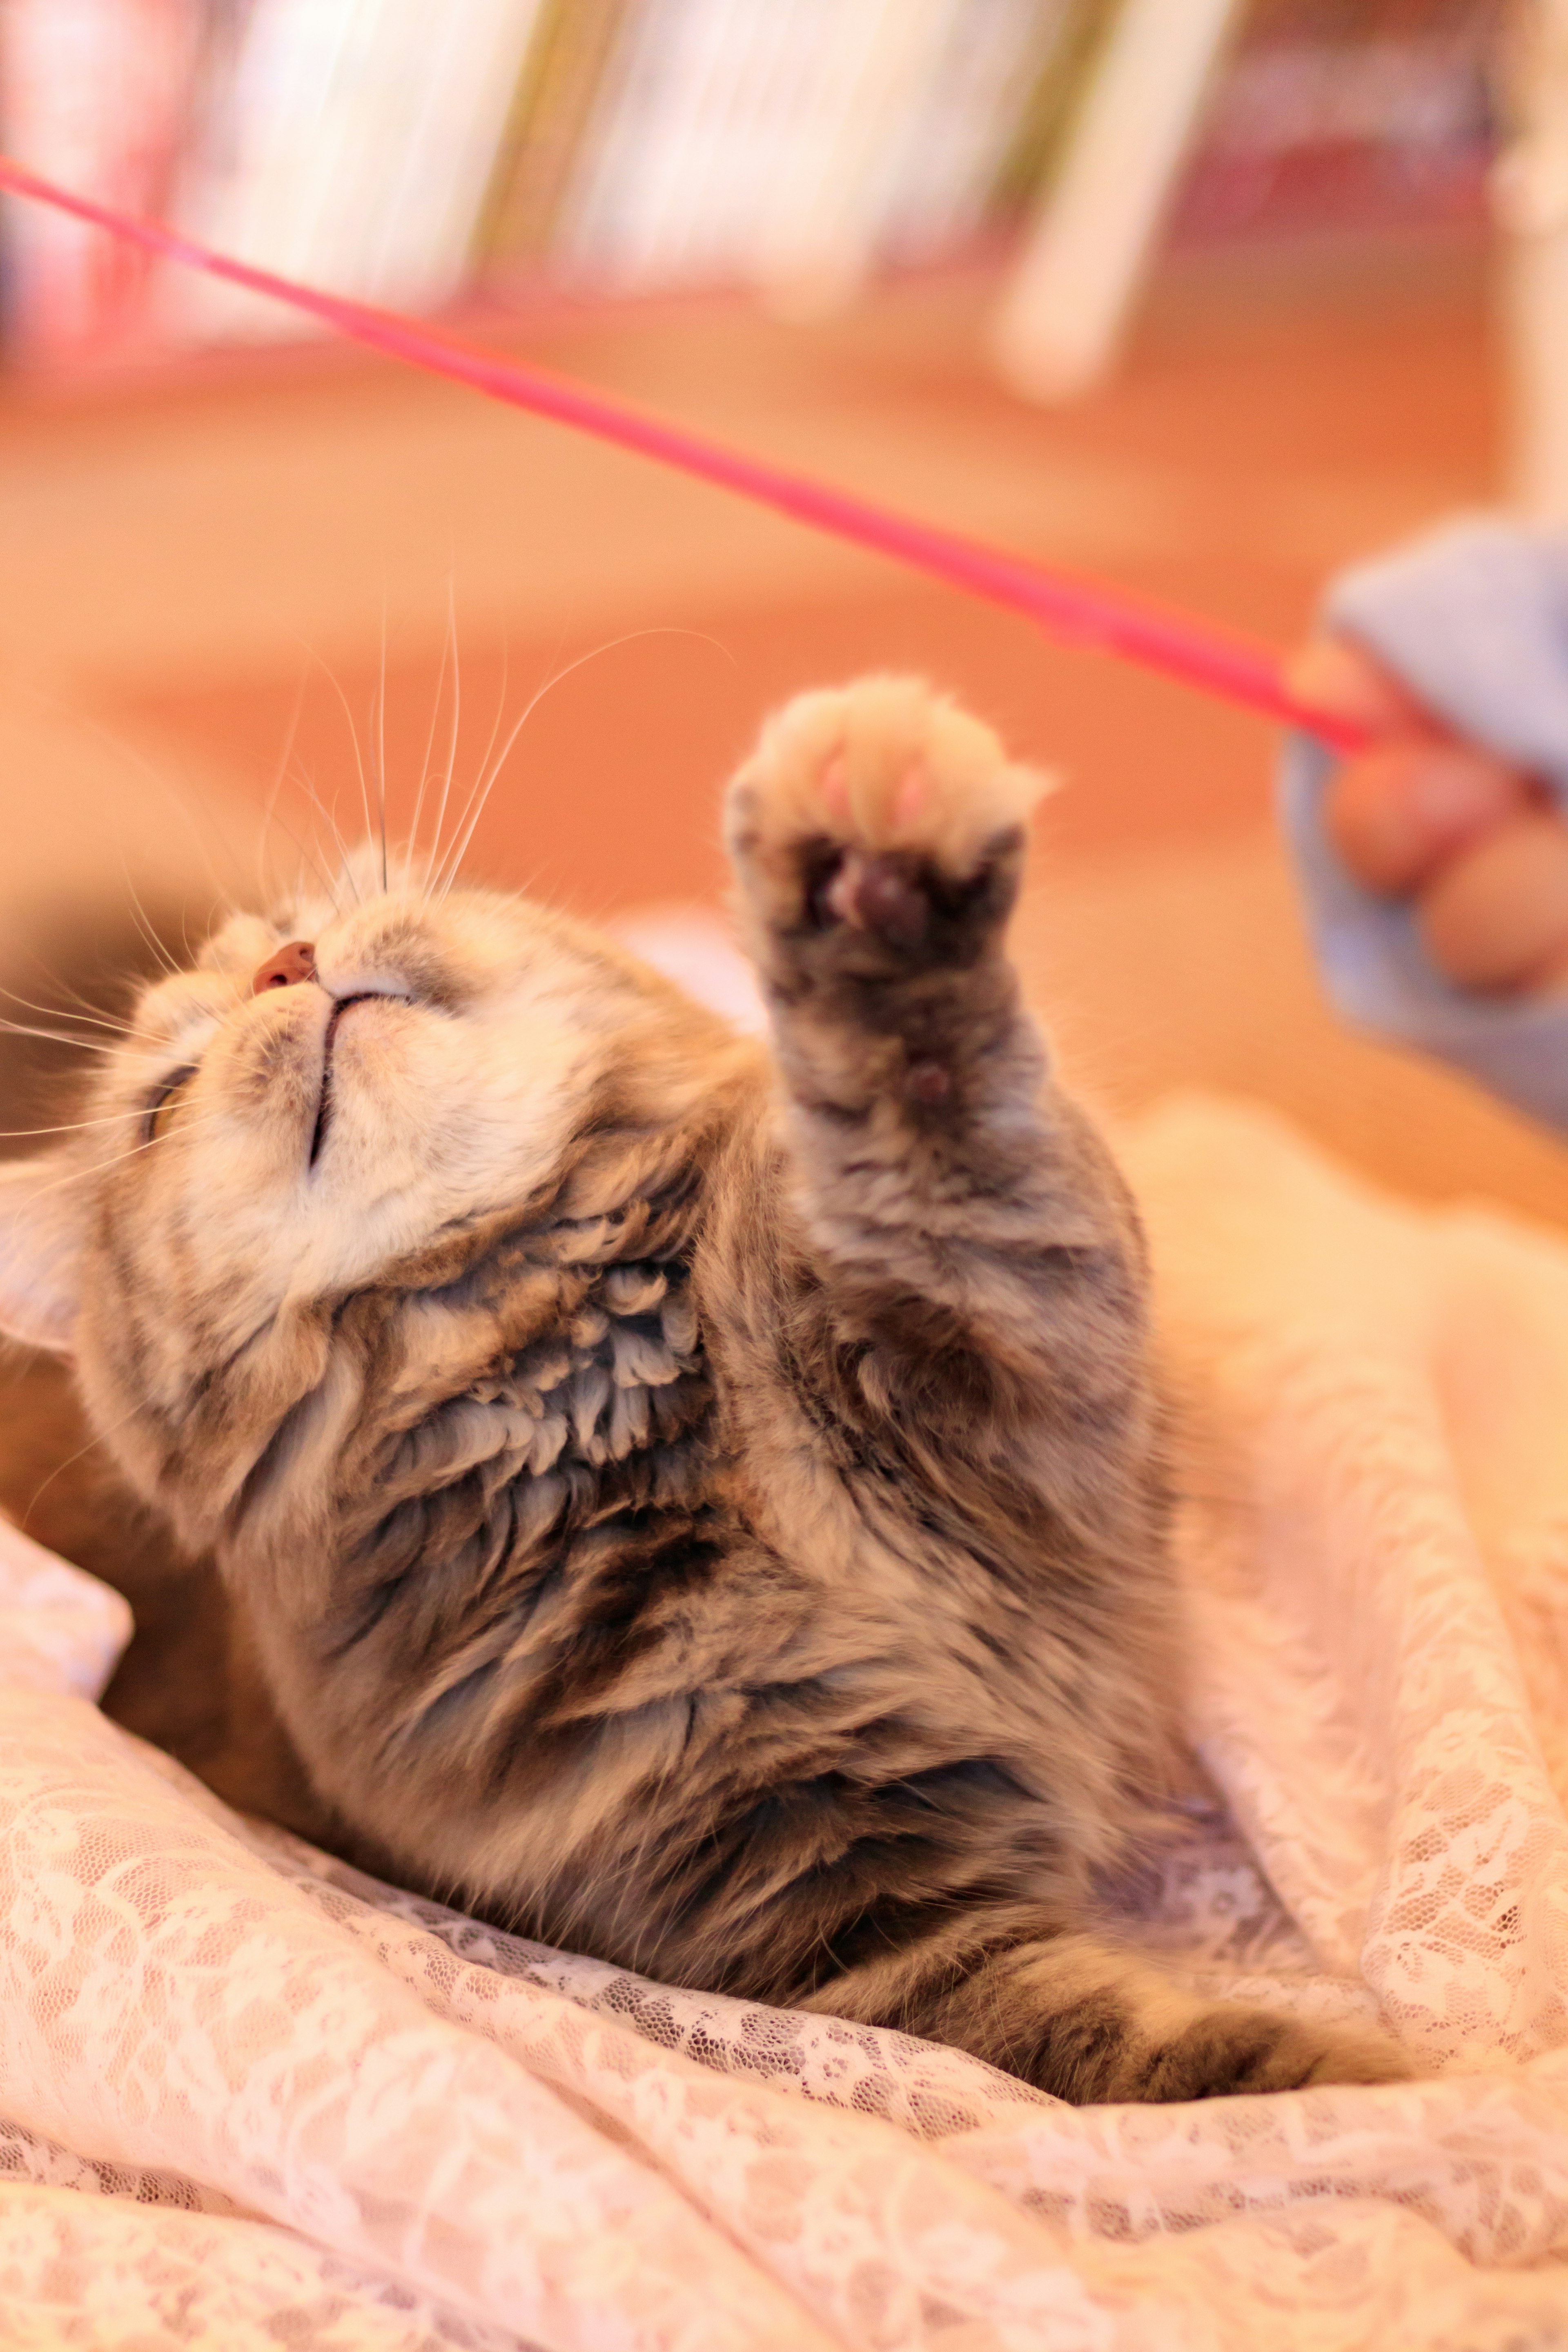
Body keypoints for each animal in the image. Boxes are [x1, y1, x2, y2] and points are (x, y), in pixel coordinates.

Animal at [0, 677, 1410, 2098]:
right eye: (163, 1102)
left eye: (312, 928)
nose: (289, 967)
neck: (582, 1395)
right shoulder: (854, 1920)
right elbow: (1188, 2066)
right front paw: (1403, 2111)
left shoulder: (1016, 1373)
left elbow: (939, 1130)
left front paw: (868, 858)